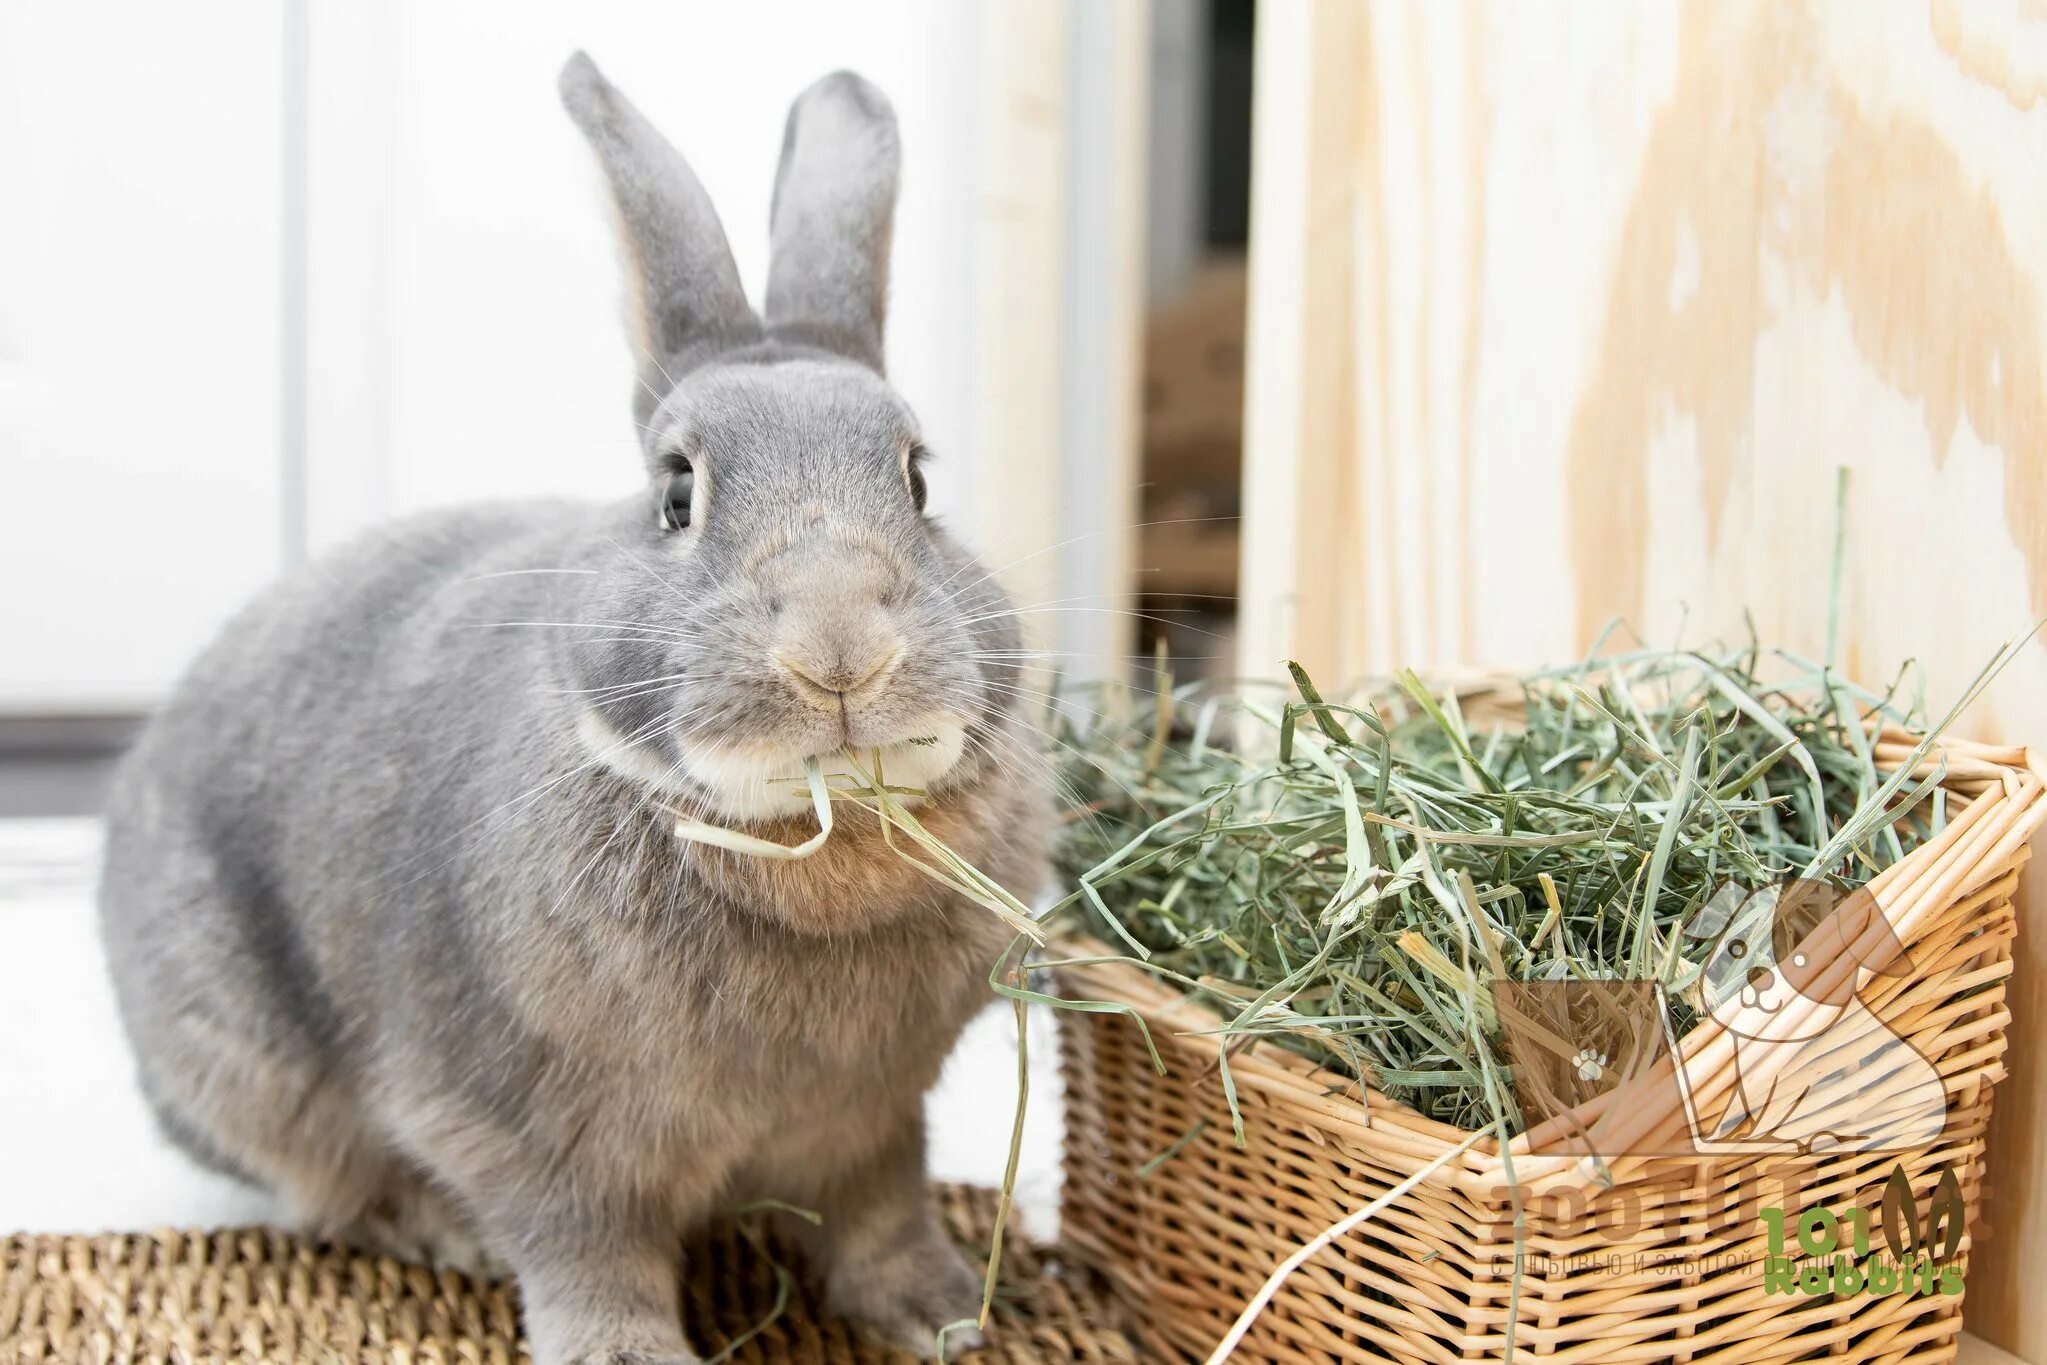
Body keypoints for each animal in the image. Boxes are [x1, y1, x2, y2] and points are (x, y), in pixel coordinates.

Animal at [94, 53, 1048, 1365]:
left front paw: (947, 1315)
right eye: (676, 493)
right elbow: (587, 1257)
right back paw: (432, 1229)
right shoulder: (532, 1135)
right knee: (320, 1190)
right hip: (244, 1064)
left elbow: (883, 1210)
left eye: (916, 481)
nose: (839, 652)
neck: (813, 846)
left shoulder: (875, 1119)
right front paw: (626, 1355)